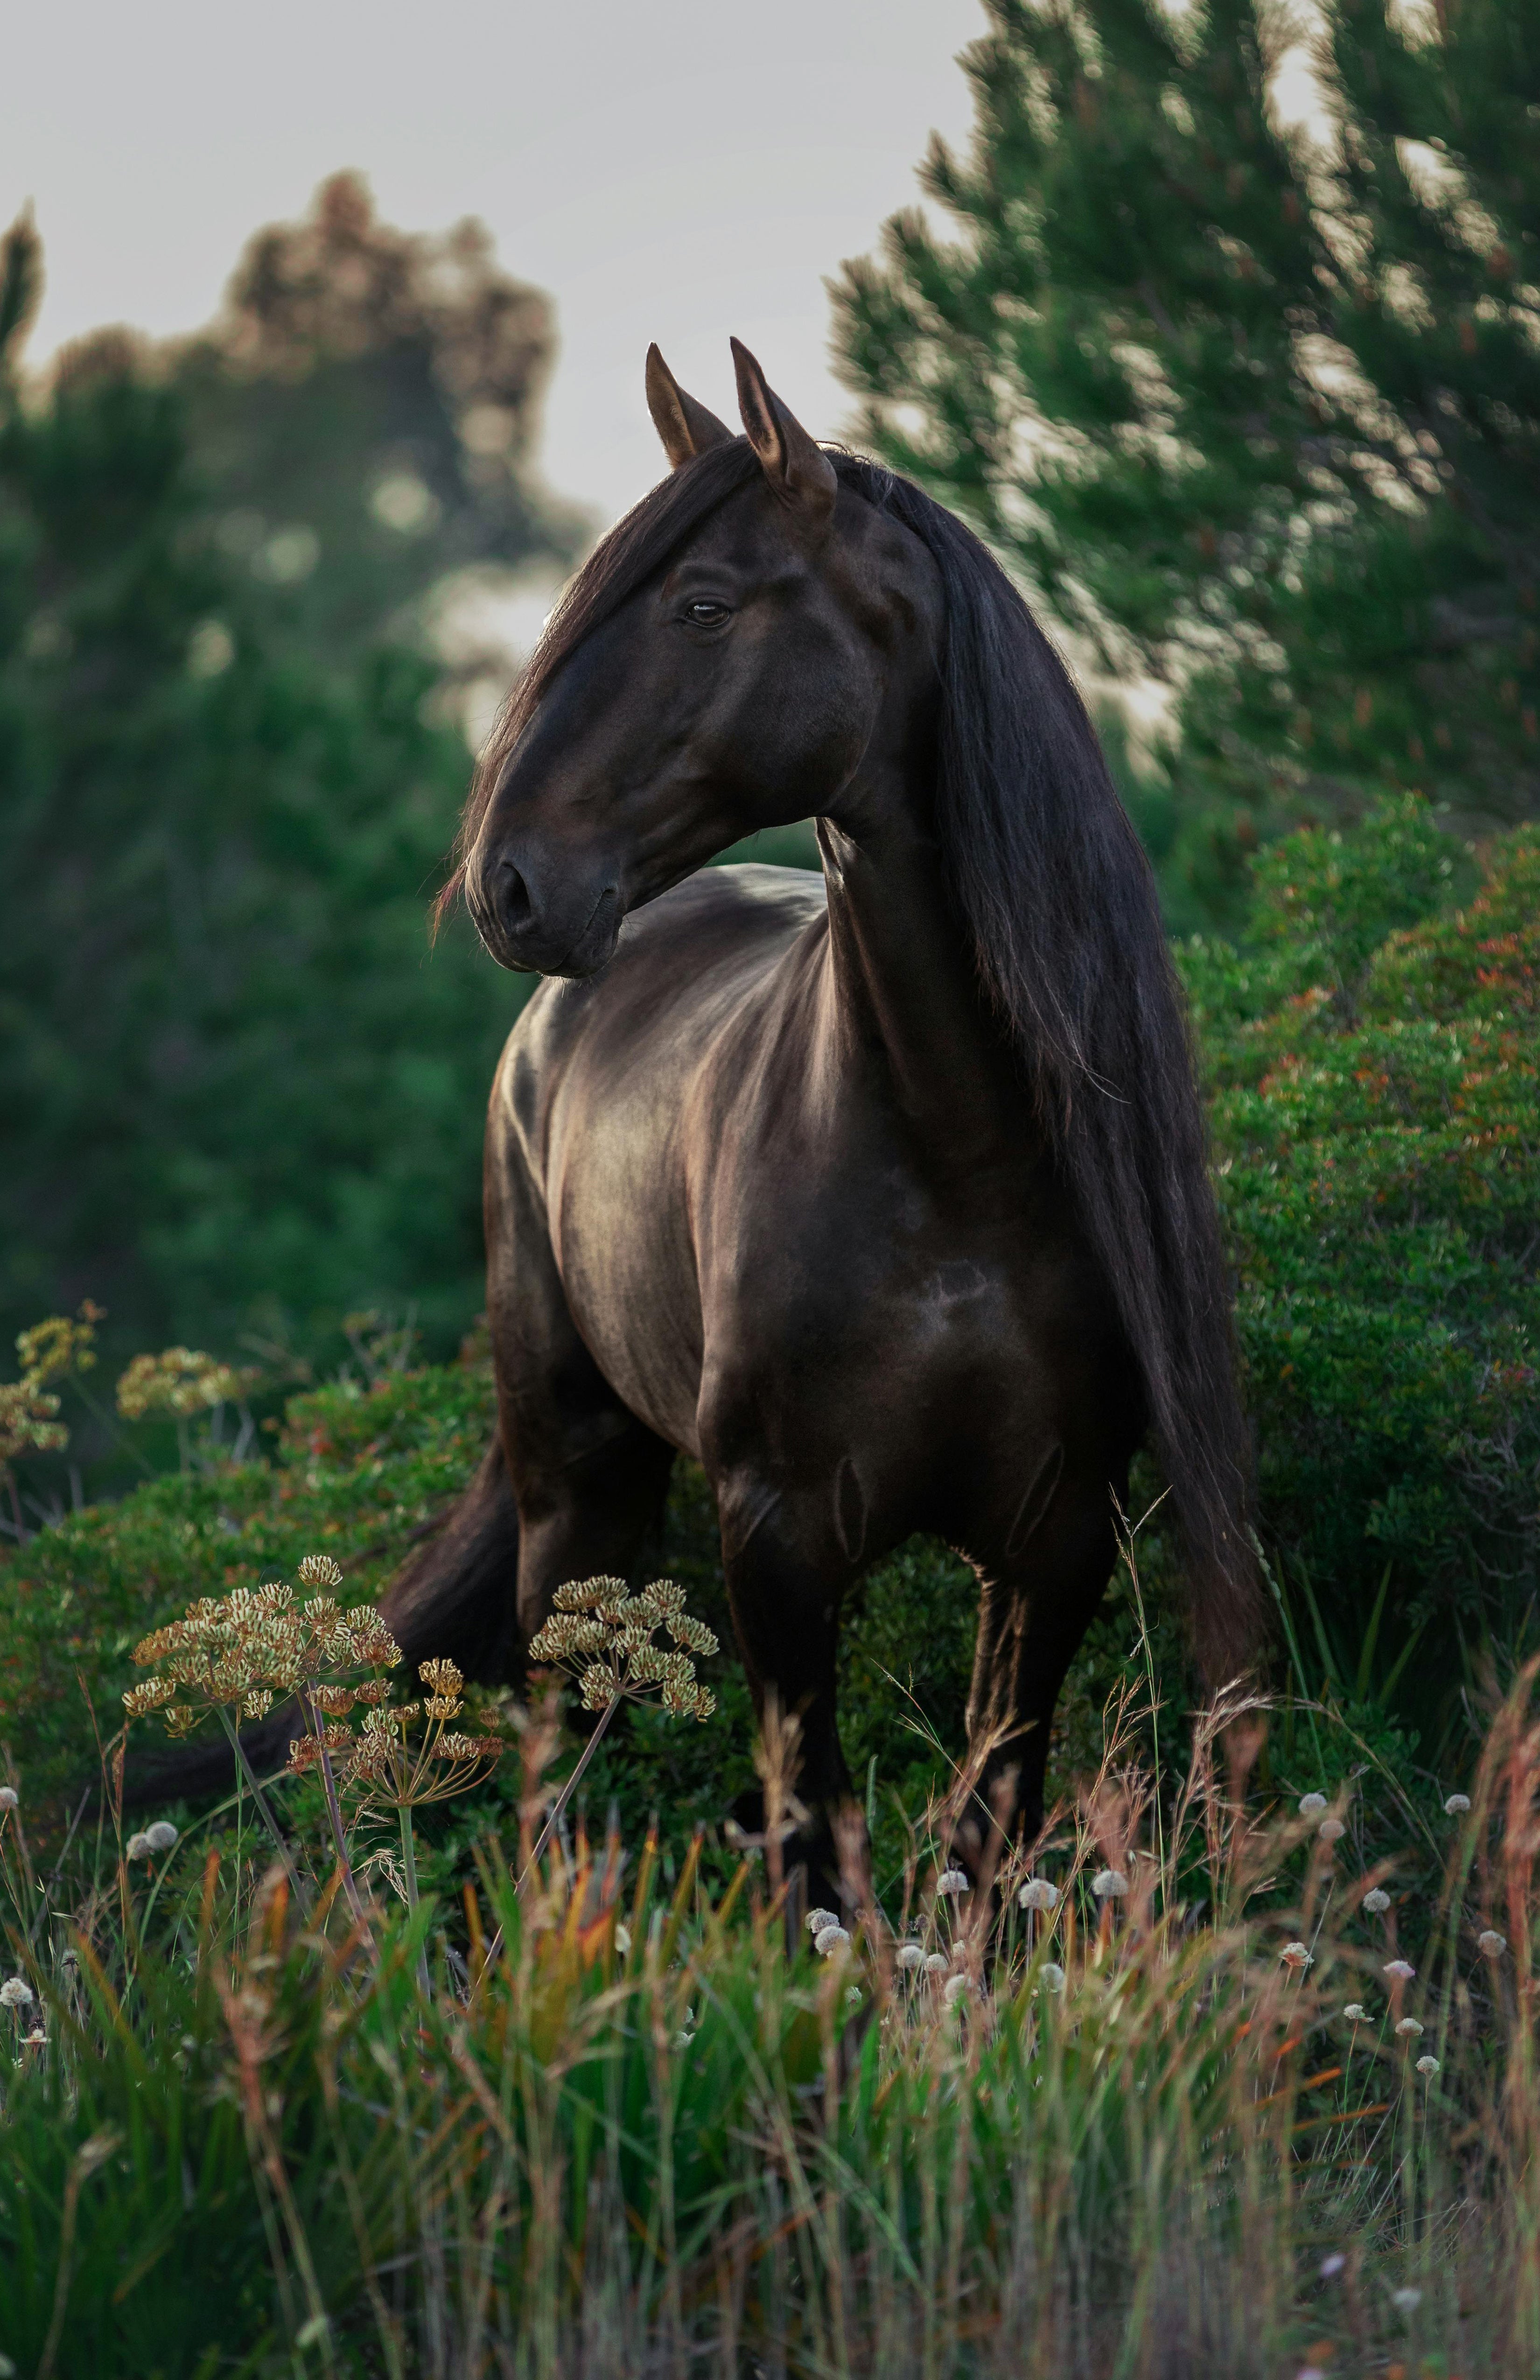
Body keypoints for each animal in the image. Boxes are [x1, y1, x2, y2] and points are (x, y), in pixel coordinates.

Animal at [367, 339, 1263, 1872]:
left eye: (704, 604)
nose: (509, 885)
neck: (955, 1162)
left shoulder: (1055, 1539)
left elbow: (986, 1819)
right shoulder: (777, 1541)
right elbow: (809, 1841)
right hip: (575, 1483)